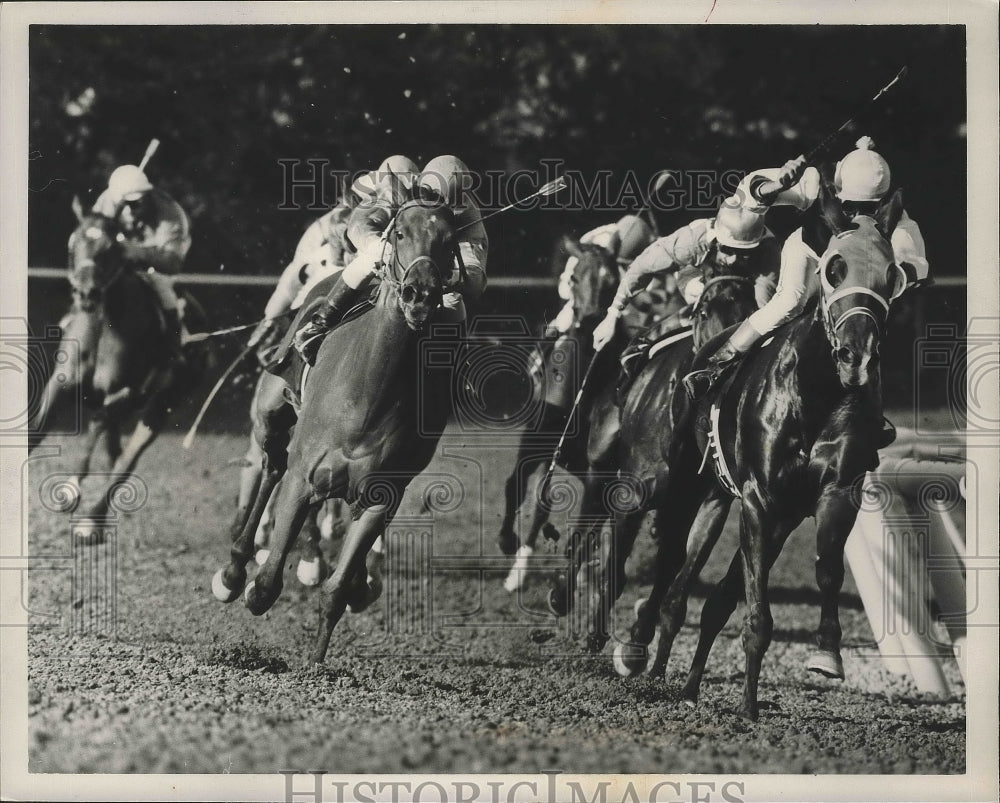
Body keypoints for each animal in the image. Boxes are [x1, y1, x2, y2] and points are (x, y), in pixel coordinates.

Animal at [29, 204, 206, 536]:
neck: (103, 327)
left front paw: (72, 488)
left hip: (161, 406)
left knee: (127, 459)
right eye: (73, 243)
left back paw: (92, 520)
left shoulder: (130, 393)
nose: (86, 293)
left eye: (111, 248)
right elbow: (37, 427)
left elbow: (98, 424)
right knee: (114, 452)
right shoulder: (60, 385)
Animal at [211, 198, 460, 664]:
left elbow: (337, 589)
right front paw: (254, 583)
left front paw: (316, 663)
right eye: (400, 232)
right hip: (271, 415)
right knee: (272, 466)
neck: (370, 393)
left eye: (448, 240)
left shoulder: (381, 497)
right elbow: (267, 583)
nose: (420, 294)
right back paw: (235, 570)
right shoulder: (305, 474)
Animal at [548, 260, 756, 652]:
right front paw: (595, 633)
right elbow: (614, 564)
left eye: (750, 311)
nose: (723, 369)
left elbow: (675, 564)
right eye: (703, 312)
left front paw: (639, 635)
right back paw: (561, 592)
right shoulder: (633, 493)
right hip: (600, 466)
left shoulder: (707, 502)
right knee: (585, 527)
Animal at [616, 190, 908, 724]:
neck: (813, 393)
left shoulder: (832, 494)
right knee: (673, 572)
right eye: (833, 268)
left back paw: (682, 683)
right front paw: (749, 706)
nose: (857, 356)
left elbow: (827, 568)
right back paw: (647, 662)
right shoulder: (760, 501)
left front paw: (826, 654)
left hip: (719, 499)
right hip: (677, 486)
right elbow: (755, 607)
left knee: (696, 592)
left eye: (890, 274)